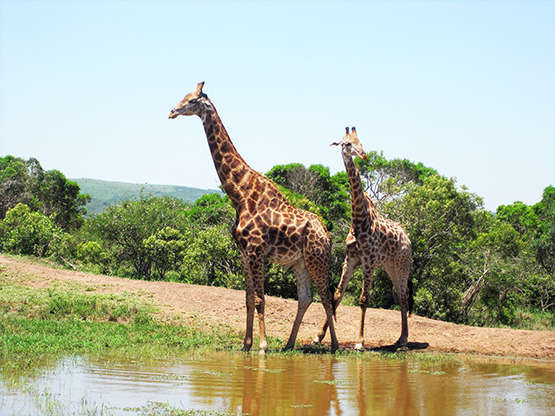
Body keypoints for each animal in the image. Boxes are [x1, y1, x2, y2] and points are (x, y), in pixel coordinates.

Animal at [169, 83, 340, 352]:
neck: (239, 193)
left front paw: (262, 345)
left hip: (317, 258)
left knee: (326, 296)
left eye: (193, 100)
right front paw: (246, 344)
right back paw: (289, 344)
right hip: (300, 262)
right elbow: (248, 298)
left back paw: (333, 345)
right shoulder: (243, 253)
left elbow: (260, 299)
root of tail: (327, 234)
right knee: (306, 298)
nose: (172, 111)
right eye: (184, 96)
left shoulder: (256, 251)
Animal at [318, 128, 412, 350]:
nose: (363, 154)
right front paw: (319, 335)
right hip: (390, 266)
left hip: (402, 263)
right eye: (347, 143)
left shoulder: (368, 261)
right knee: (400, 295)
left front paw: (360, 342)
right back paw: (399, 339)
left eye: (360, 142)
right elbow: (337, 295)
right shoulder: (350, 259)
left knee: (404, 295)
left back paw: (404, 339)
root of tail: (407, 239)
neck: (360, 220)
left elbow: (363, 299)